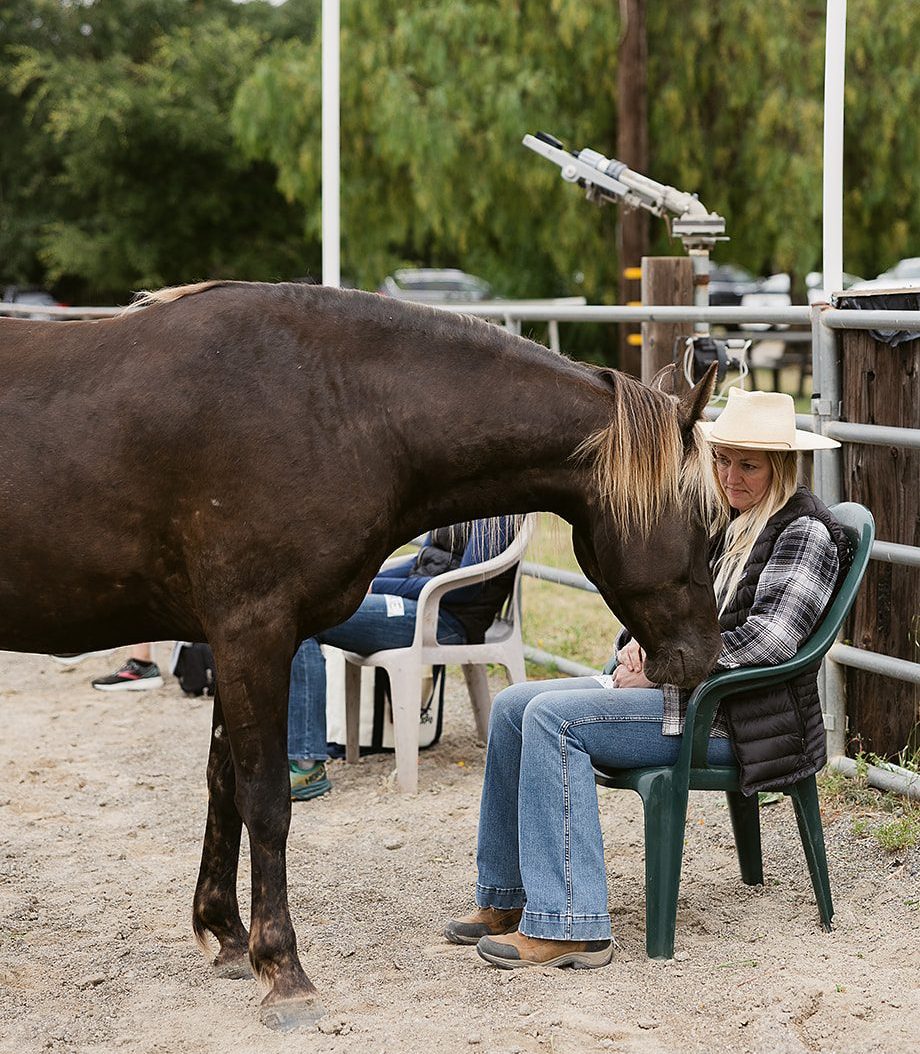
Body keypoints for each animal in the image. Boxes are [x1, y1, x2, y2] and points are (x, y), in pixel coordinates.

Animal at [0, 280, 721, 1030]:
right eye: (708, 522)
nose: (702, 656)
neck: (338, 407)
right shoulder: (252, 635)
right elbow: (266, 803)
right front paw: (283, 973)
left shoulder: (235, 642)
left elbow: (223, 787)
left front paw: (227, 938)